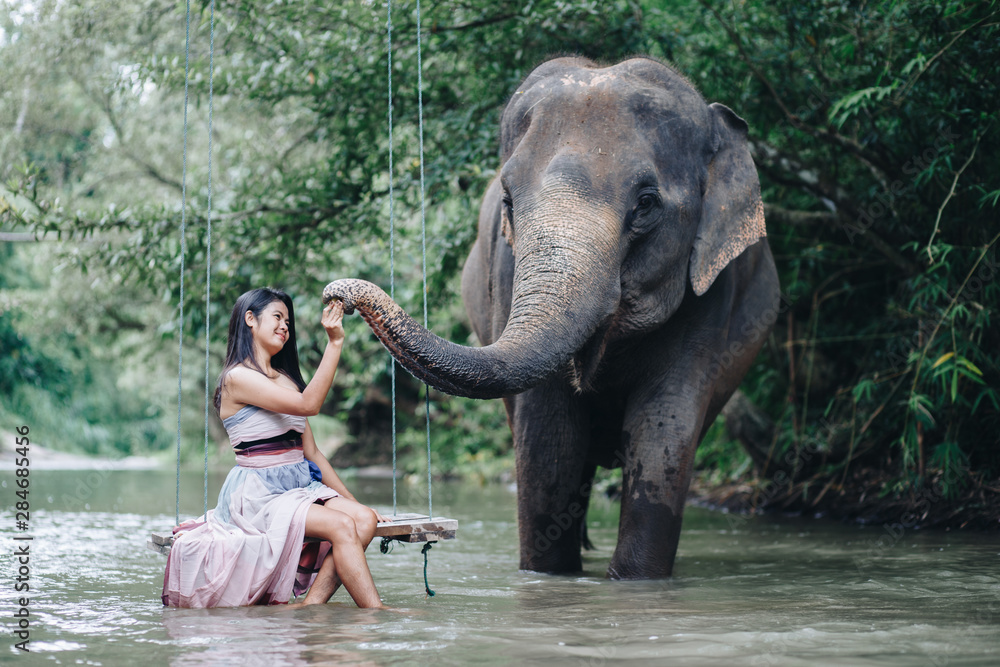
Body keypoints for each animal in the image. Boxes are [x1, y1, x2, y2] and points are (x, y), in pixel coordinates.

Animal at [324, 56, 779, 579]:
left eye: (646, 202)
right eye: (507, 200)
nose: (338, 293)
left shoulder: (712, 291)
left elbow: (662, 430)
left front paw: (635, 582)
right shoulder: (505, 270)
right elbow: (548, 444)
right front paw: (549, 577)